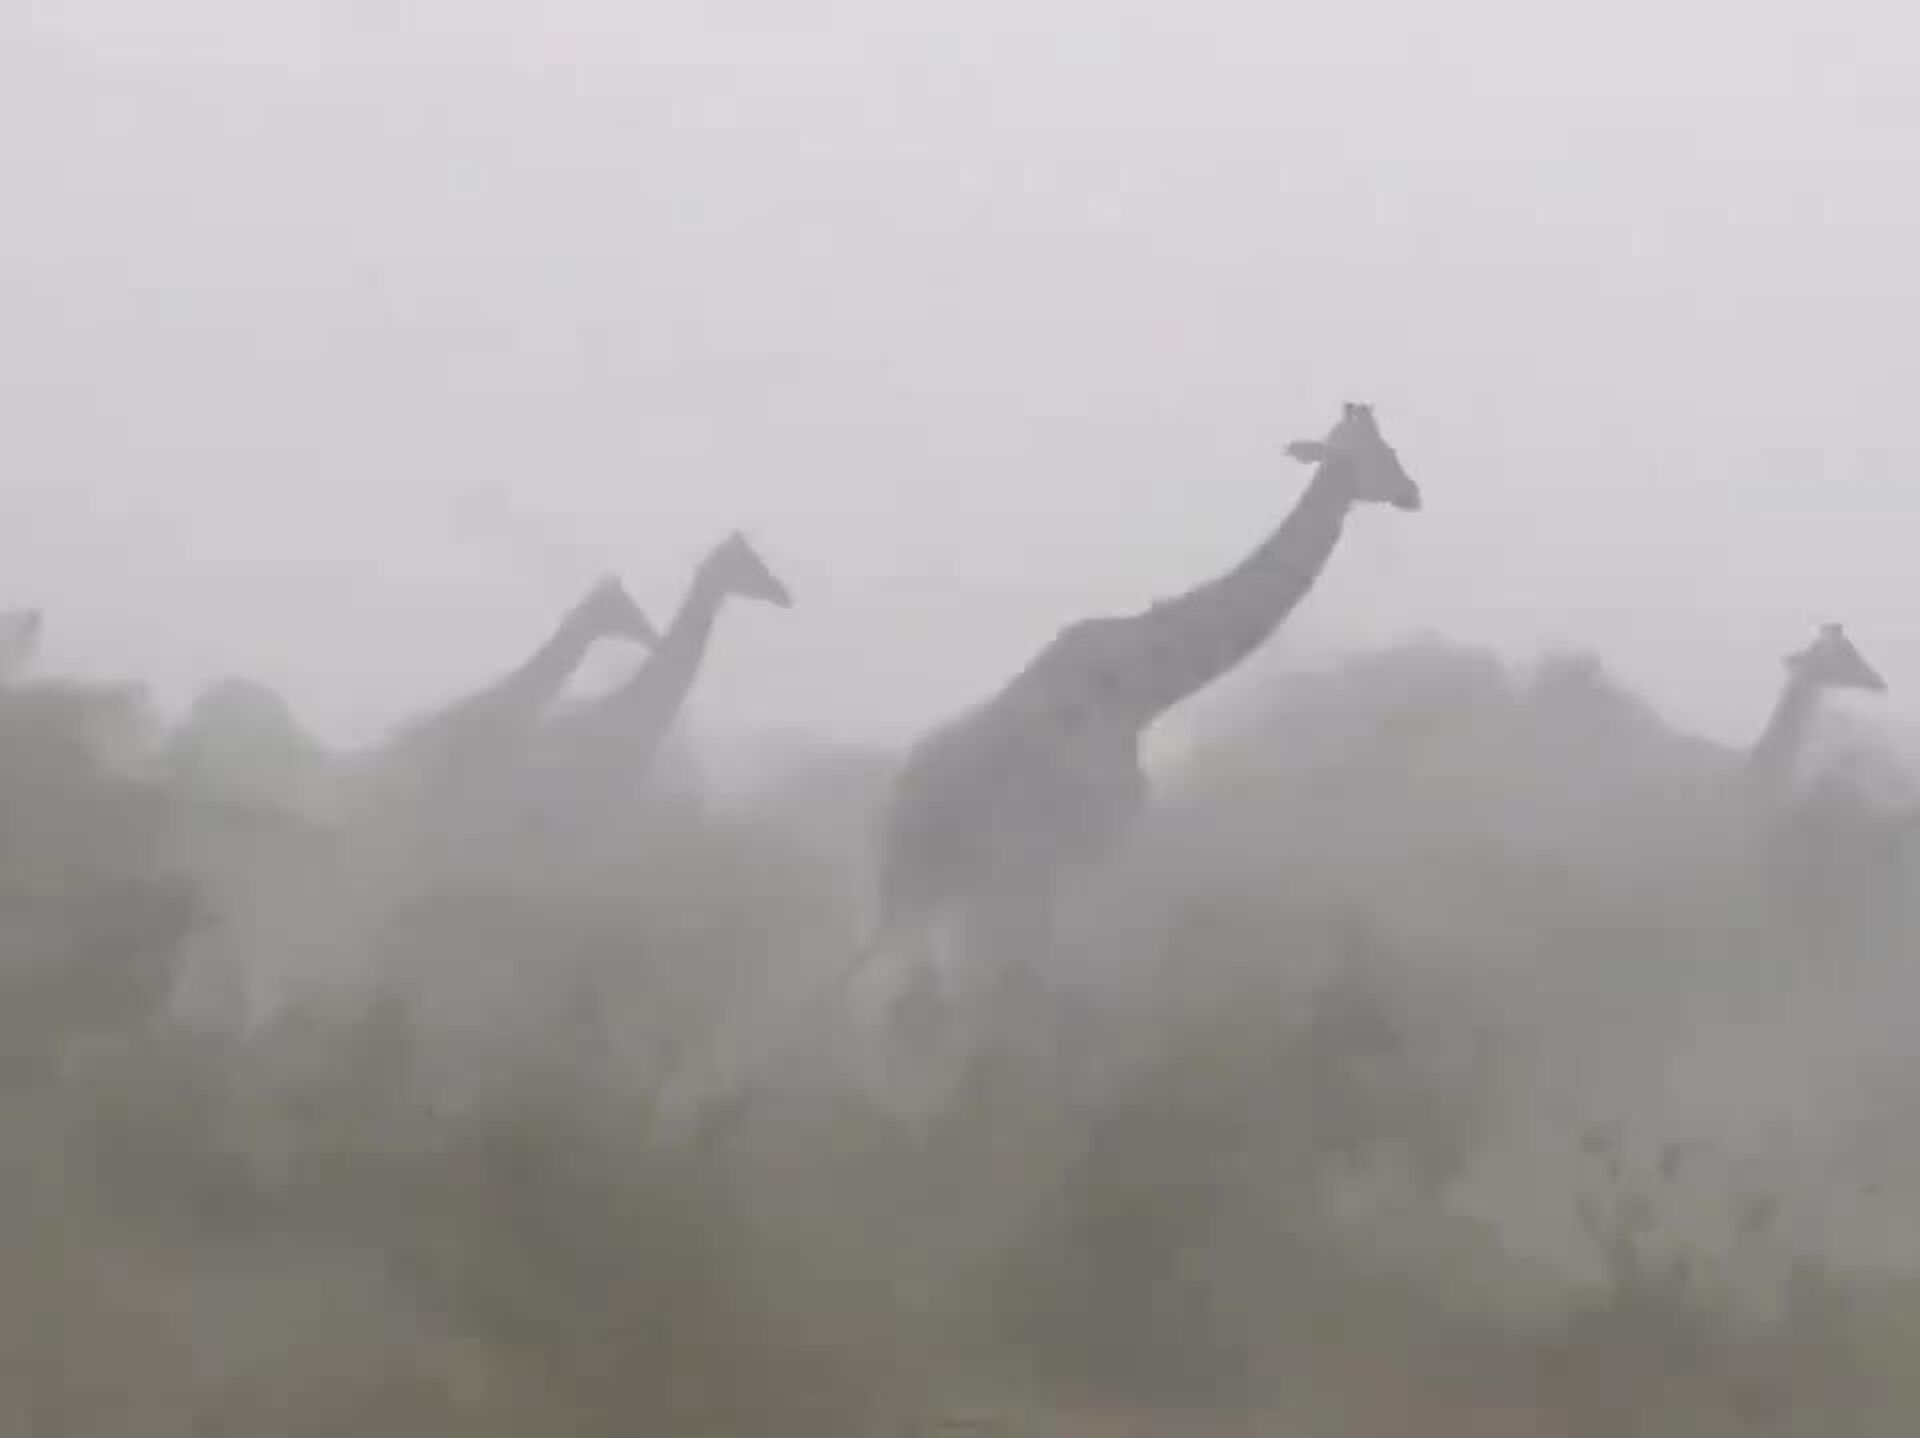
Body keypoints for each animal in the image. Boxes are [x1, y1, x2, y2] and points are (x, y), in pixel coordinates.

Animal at [856, 401, 1423, 1024]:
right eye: (1380, 453)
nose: (1412, 492)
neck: (1145, 689)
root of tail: (895, 805)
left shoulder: (1050, 865)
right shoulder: (1065, 852)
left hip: (935, 889)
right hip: (943, 886)